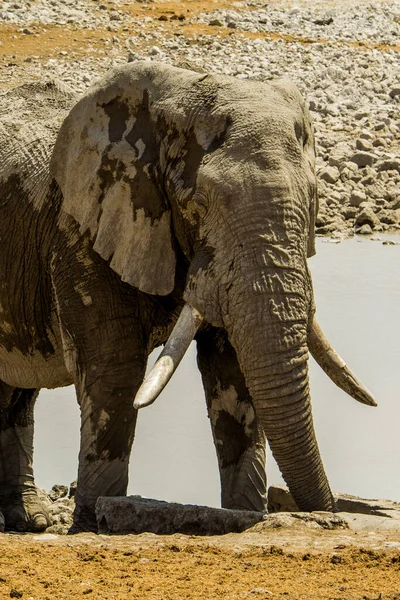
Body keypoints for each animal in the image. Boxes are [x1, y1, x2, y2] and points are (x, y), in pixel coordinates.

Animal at [0, 59, 376, 528]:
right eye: (197, 205)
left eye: (312, 201)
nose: (330, 518)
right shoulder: (79, 232)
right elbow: (116, 371)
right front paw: (93, 525)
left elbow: (234, 373)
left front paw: (245, 516)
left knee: (17, 393)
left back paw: (29, 520)